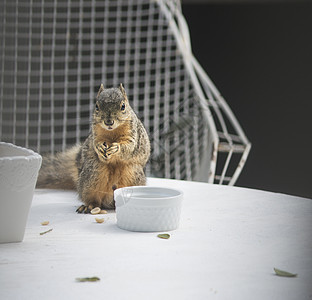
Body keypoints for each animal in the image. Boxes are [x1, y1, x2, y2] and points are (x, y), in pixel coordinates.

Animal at [36, 83, 151, 212]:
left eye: (123, 106)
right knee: (94, 199)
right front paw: (99, 148)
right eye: (97, 106)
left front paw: (116, 148)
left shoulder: (133, 134)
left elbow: (129, 147)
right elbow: (95, 143)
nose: (108, 122)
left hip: (132, 173)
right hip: (92, 173)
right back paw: (90, 205)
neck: (112, 132)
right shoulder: (96, 134)